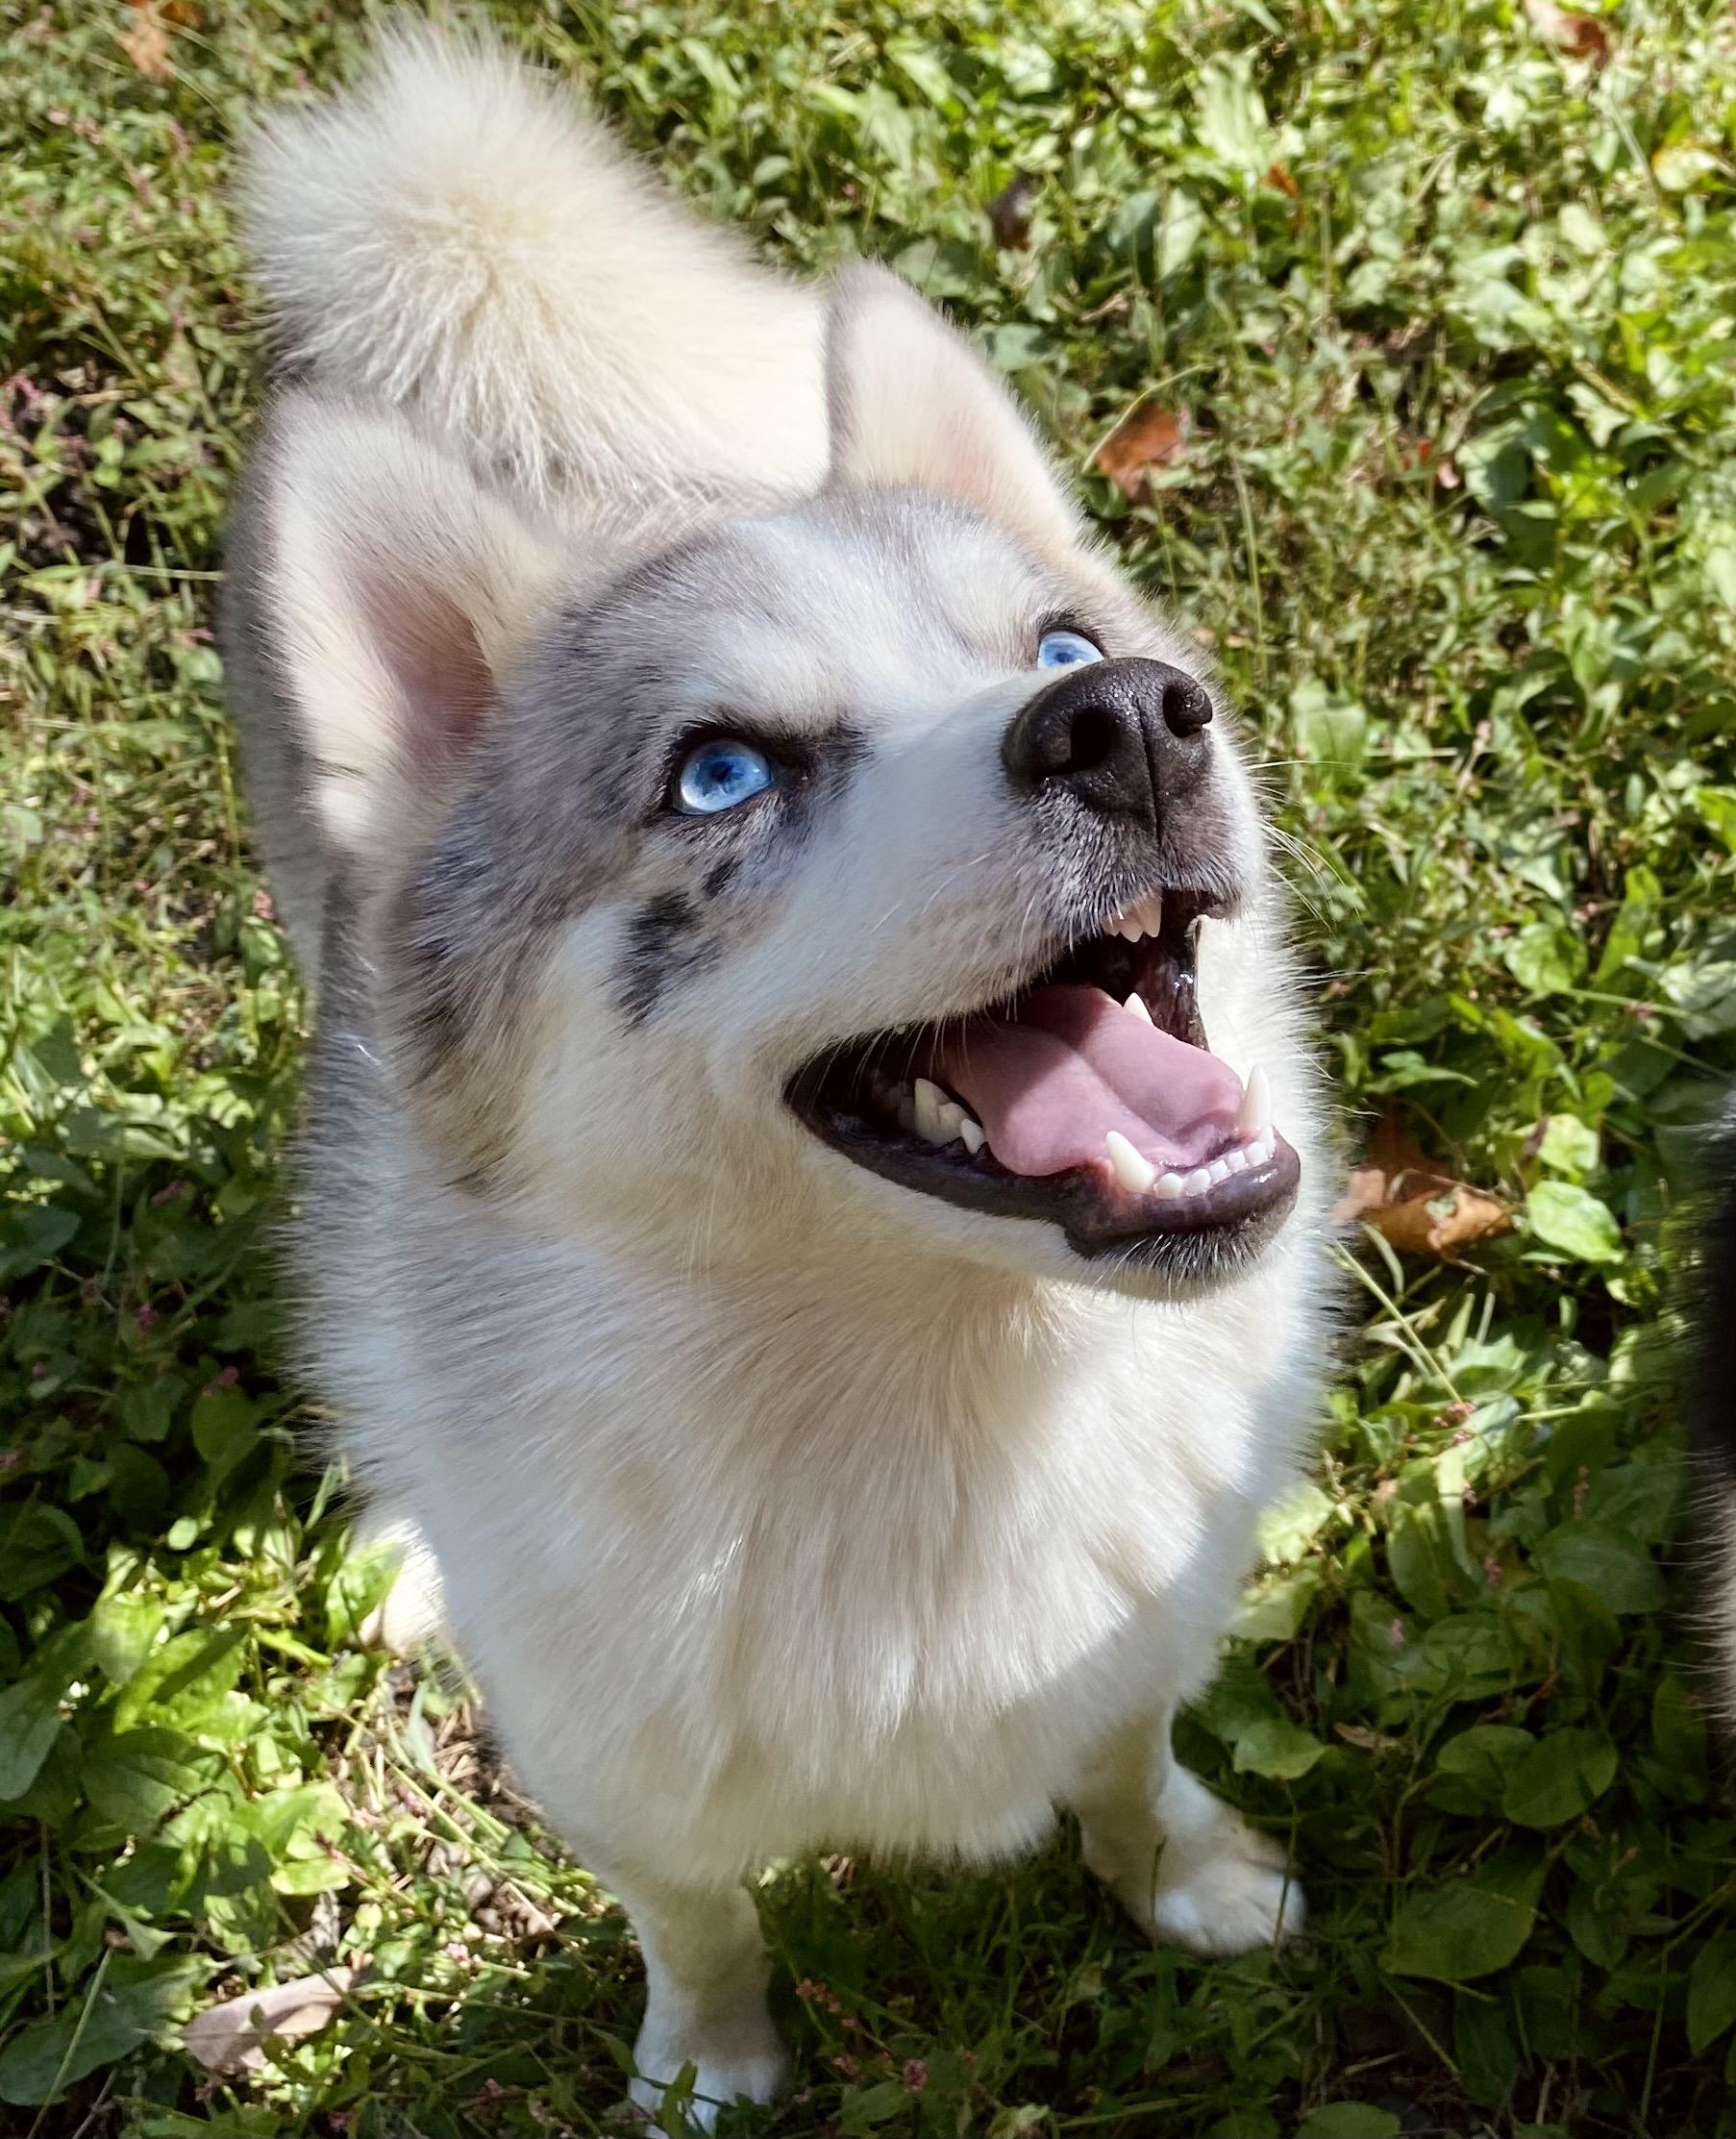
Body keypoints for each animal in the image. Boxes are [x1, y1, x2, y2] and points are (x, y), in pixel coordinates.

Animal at [224, 25, 1336, 2128]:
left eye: (1057, 644)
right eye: (718, 772)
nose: (1132, 721)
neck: (928, 1407)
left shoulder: (1140, 1629)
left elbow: (1128, 1754)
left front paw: (1184, 1873)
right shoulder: (620, 1777)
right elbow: (699, 1919)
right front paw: (711, 2071)